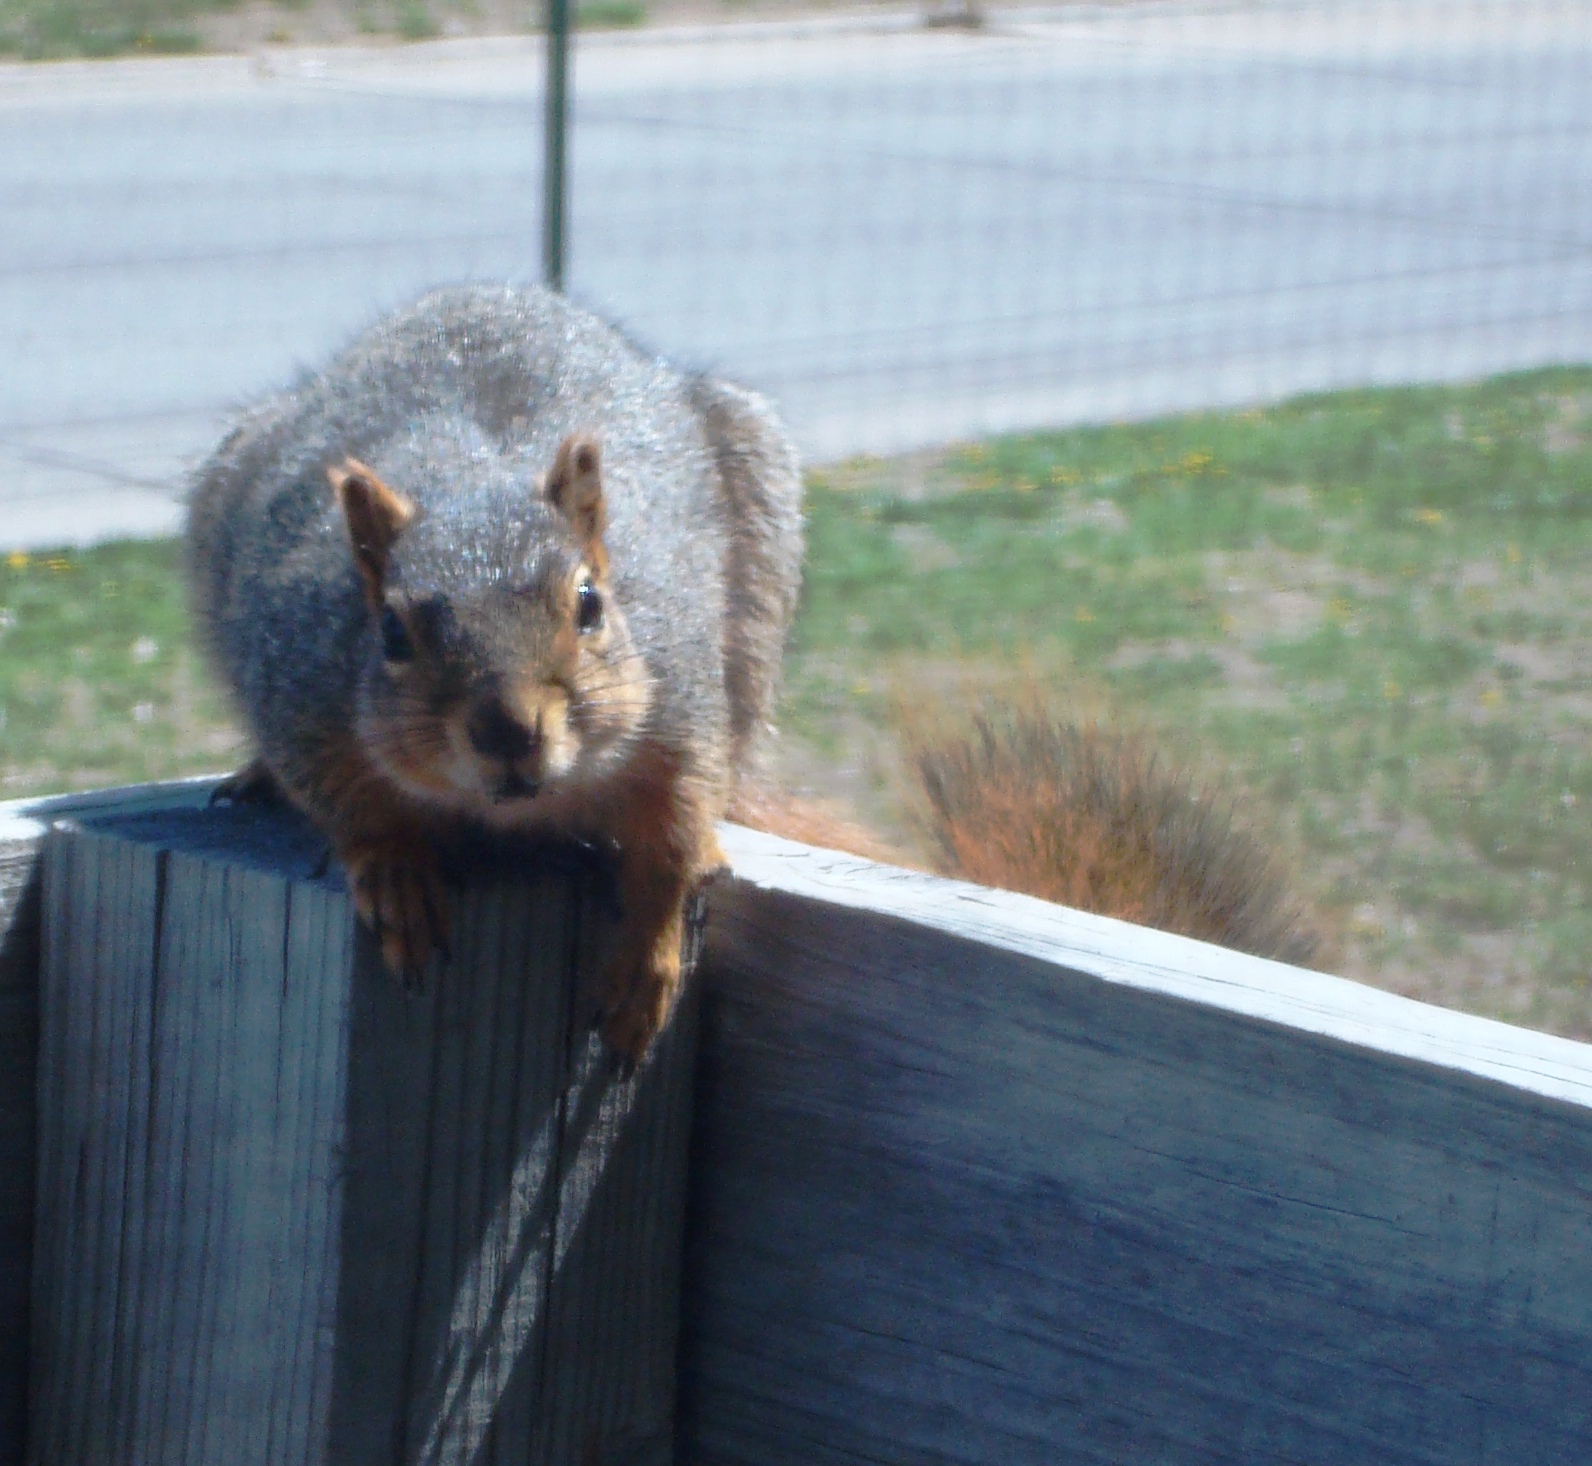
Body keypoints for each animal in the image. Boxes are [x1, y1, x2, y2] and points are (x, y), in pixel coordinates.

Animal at [187, 284, 802, 1061]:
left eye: (590, 603)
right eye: (391, 632)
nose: (508, 730)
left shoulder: (681, 695)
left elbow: (673, 828)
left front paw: (648, 953)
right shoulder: (298, 692)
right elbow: (347, 801)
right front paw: (395, 871)